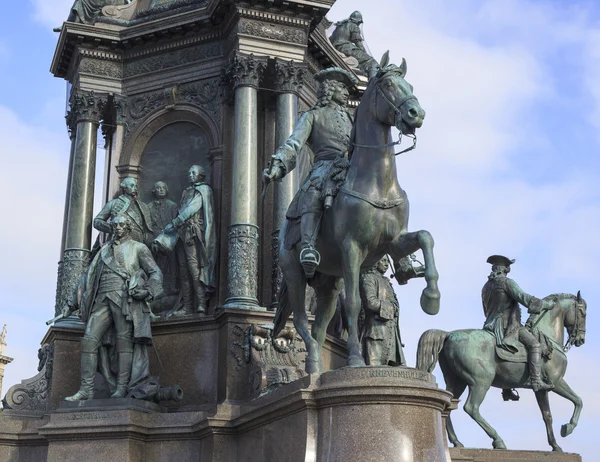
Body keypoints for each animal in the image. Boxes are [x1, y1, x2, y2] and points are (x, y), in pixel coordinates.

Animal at [274, 53, 438, 372]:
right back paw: (312, 365)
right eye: (388, 85)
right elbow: (354, 304)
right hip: (294, 274)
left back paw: (315, 366)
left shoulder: (393, 242)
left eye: (410, 85)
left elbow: (426, 237)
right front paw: (354, 359)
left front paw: (431, 296)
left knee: (319, 326)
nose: (416, 114)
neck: (378, 183)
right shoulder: (352, 248)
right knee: (300, 321)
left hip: (328, 284)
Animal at [418, 292, 584, 452]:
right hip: (481, 382)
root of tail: (449, 334)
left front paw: (555, 445)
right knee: (471, 408)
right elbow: (578, 400)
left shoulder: (541, 390)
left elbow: (547, 415)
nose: (581, 339)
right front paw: (568, 428)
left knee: (449, 407)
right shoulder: (556, 382)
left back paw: (457, 442)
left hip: (457, 382)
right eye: (583, 312)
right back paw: (498, 441)